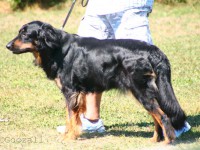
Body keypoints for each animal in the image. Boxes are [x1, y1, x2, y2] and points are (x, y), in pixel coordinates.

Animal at [6, 20, 188, 144]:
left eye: (25, 34)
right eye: (20, 32)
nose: (7, 45)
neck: (57, 48)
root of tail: (154, 51)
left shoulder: (70, 91)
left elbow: (70, 117)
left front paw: (69, 137)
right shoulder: (76, 93)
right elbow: (71, 117)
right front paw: (70, 134)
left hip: (141, 90)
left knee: (163, 116)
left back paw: (167, 141)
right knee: (157, 116)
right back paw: (155, 140)